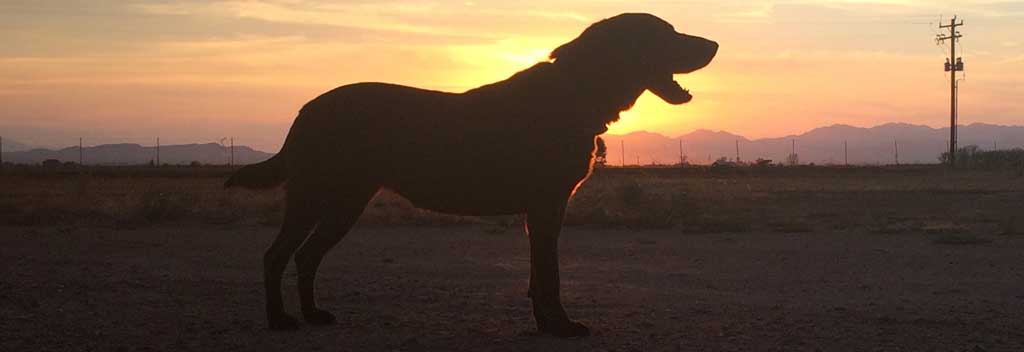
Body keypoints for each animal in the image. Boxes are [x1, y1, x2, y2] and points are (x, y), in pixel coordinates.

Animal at [228, 13, 716, 337]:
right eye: (666, 34)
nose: (713, 45)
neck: (577, 92)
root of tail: (306, 109)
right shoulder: (547, 206)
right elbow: (550, 275)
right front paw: (559, 325)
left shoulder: (540, 212)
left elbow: (538, 276)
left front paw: (545, 322)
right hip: (315, 196)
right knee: (276, 256)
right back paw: (279, 320)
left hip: (345, 202)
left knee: (306, 257)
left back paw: (313, 315)